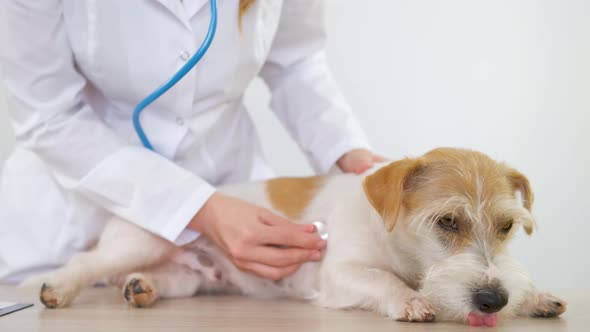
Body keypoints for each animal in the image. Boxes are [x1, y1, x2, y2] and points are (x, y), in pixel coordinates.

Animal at [26, 148, 568, 326]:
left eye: (505, 226)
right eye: (447, 222)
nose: (494, 300)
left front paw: (535, 298)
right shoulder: (342, 274)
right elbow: (383, 281)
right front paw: (410, 300)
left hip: (191, 278)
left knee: (160, 280)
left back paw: (142, 287)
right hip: (143, 240)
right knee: (88, 263)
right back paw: (60, 288)